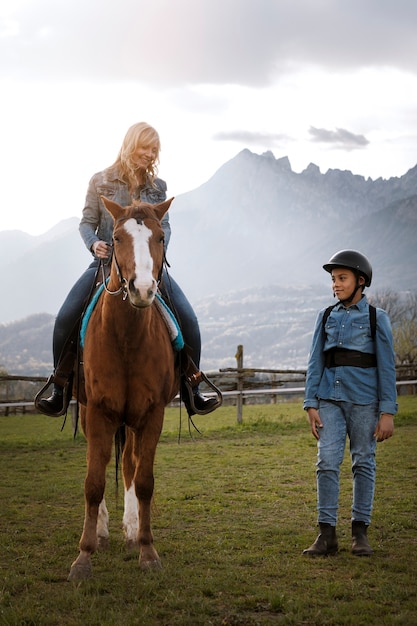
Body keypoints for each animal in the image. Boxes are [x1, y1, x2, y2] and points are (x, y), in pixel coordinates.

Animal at [68, 195, 179, 580]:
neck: (128, 339)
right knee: (100, 466)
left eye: (161, 237)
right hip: (91, 413)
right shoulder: (100, 412)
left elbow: (144, 481)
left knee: (129, 464)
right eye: (115, 238)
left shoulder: (152, 414)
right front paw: (83, 557)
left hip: (132, 421)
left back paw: (130, 530)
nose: (142, 289)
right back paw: (102, 532)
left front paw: (147, 551)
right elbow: (93, 482)